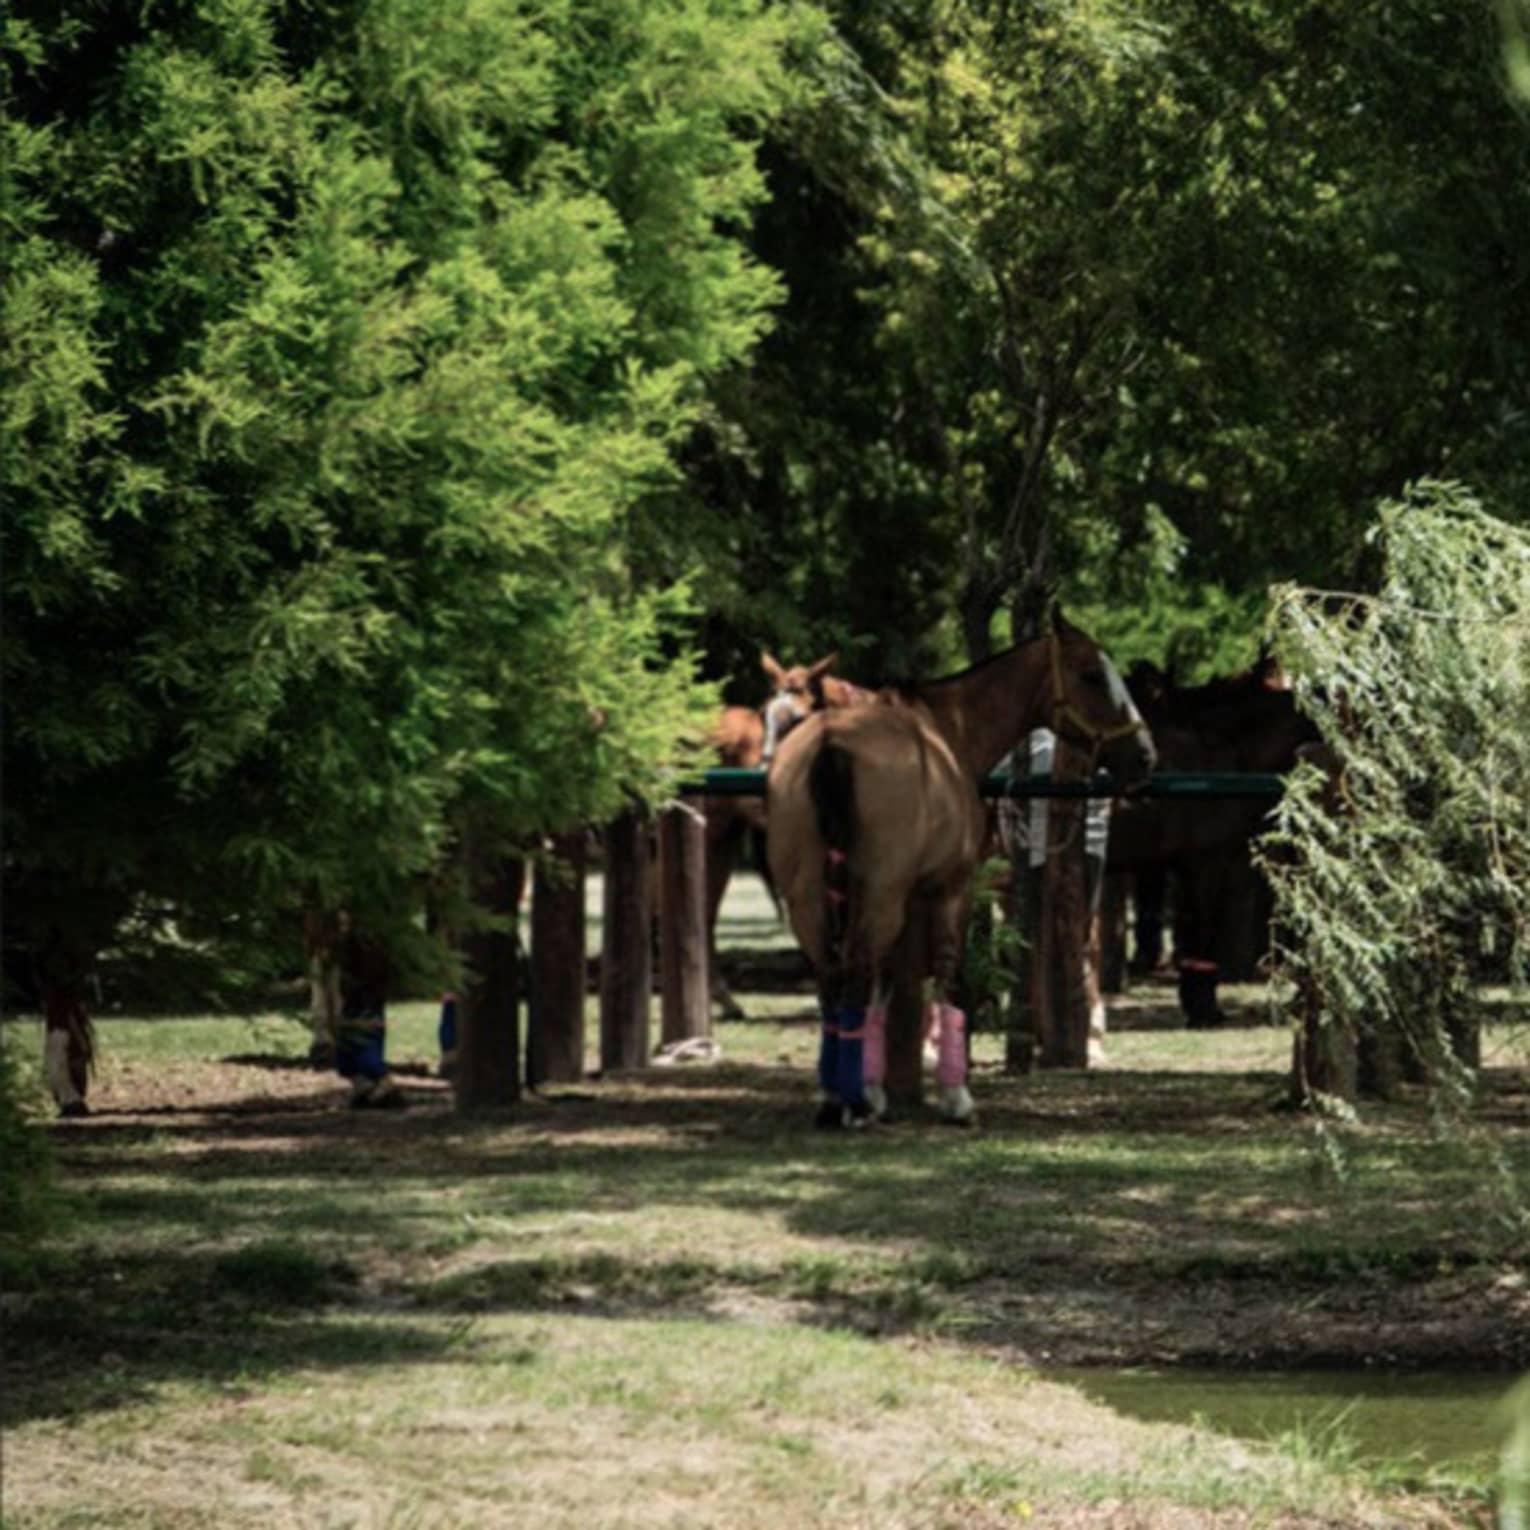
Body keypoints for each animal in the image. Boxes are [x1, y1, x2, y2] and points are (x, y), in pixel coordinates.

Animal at [767, 611, 1156, 1126]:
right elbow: (949, 977)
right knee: (856, 969)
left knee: (833, 980)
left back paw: (835, 1098)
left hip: (809, 897)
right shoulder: (951, 889)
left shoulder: (908, 899)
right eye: (1092, 675)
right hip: (878, 896)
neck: (949, 730)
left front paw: (876, 1087)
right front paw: (953, 1097)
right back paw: (852, 1101)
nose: (1145, 755)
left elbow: (889, 987)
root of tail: (832, 744)